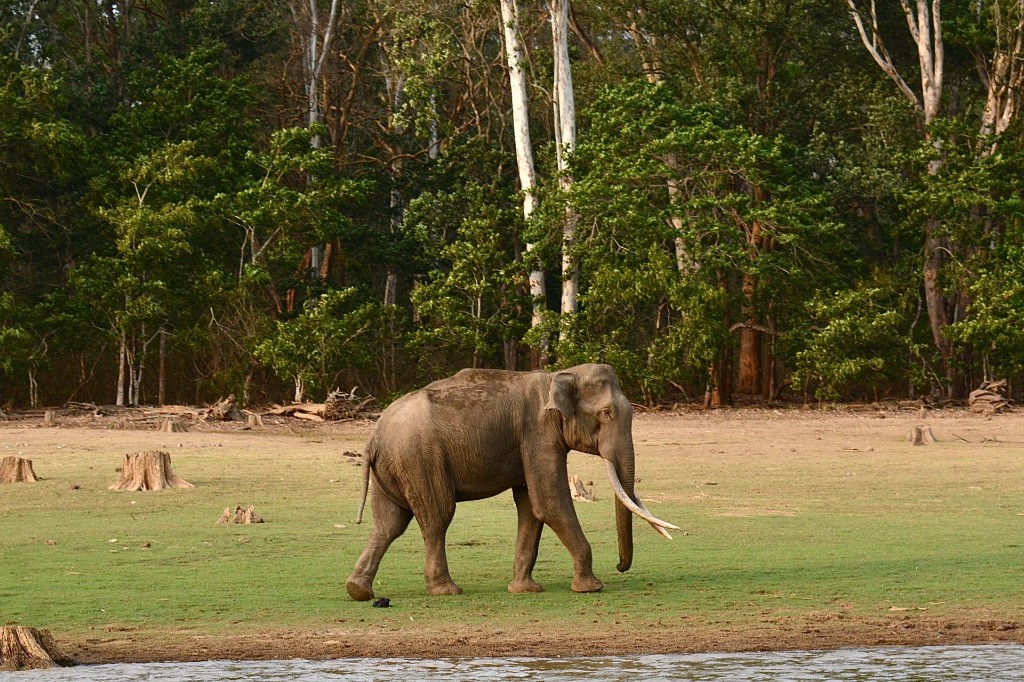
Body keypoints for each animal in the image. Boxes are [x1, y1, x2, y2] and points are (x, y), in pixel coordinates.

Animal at [345, 363, 677, 601]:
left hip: (395, 468)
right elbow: (550, 502)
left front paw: (525, 590)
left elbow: (531, 507)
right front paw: (592, 587)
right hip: (419, 460)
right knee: (437, 518)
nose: (619, 567)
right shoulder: (538, 435)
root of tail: (374, 437)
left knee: (388, 524)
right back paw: (447, 590)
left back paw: (359, 591)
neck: (557, 376)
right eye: (606, 413)